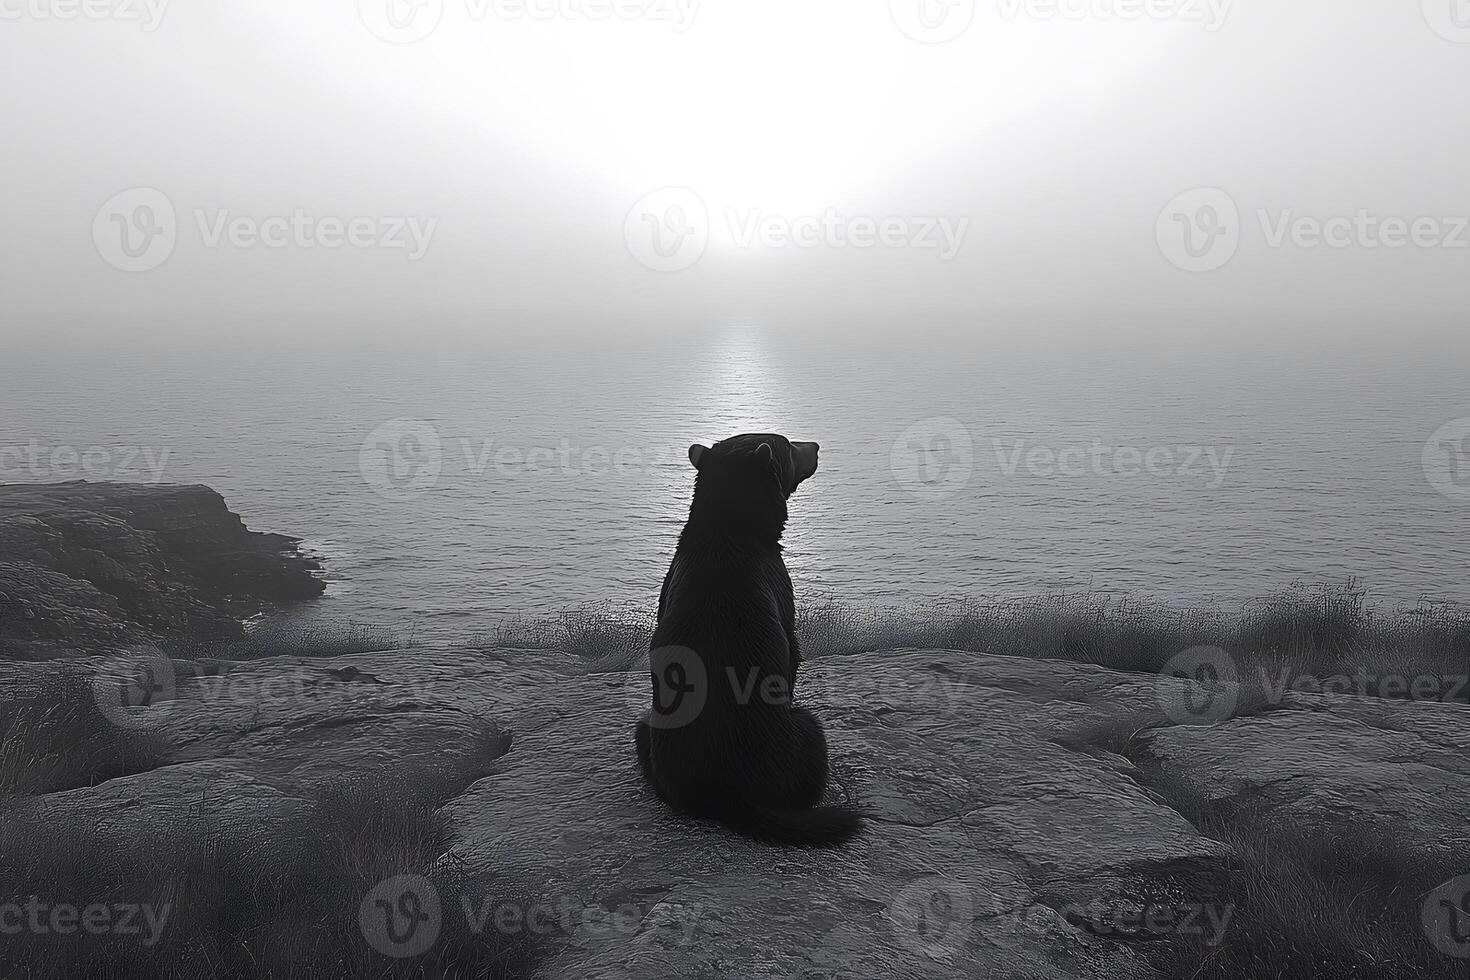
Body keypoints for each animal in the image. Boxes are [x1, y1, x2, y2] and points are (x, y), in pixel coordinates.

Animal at [632, 431, 858, 846]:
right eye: (788, 447)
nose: (816, 445)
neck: (724, 533)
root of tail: (729, 796)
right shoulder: (788, 617)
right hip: (809, 729)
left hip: (645, 728)